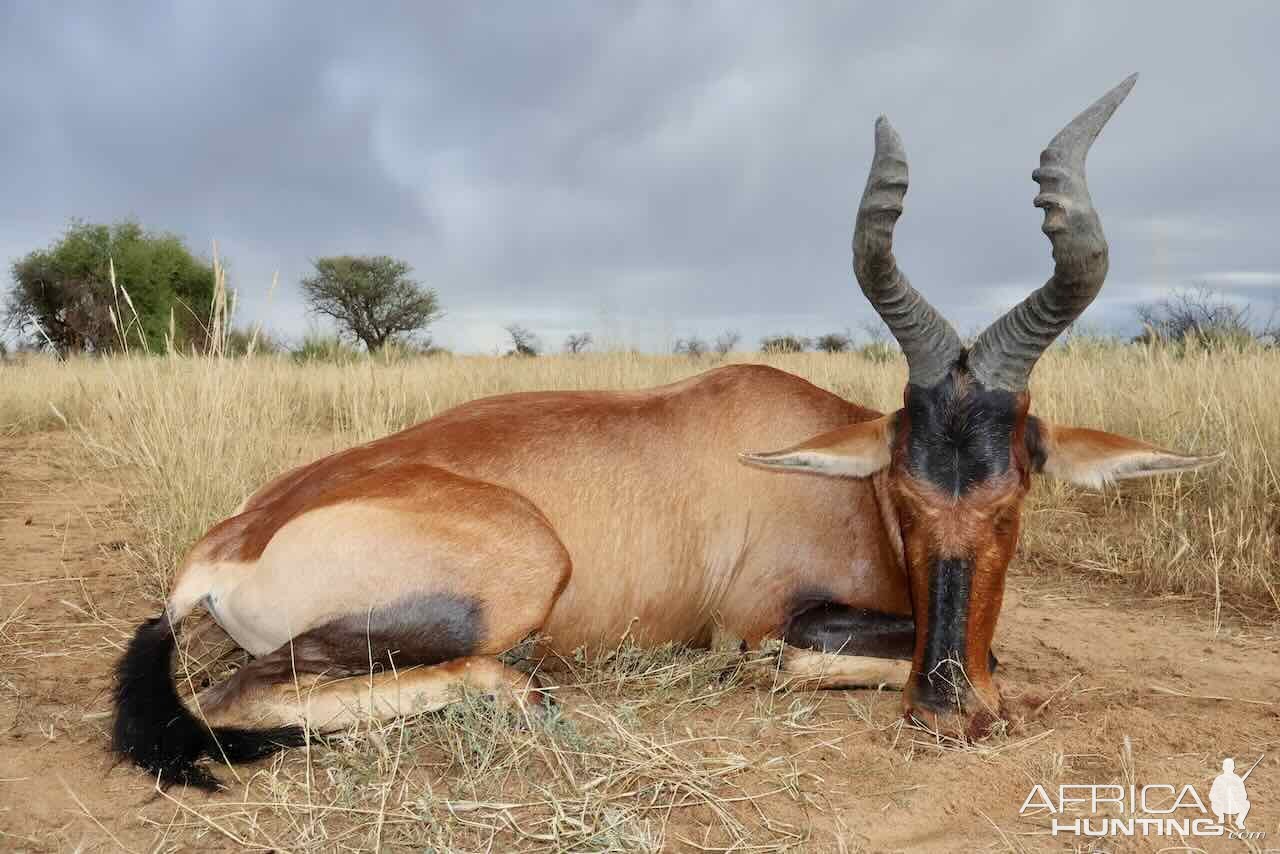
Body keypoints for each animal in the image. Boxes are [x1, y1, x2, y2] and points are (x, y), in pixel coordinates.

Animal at [112, 76, 1218, 793]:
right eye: (903, 491)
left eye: (1013, 493)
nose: (947, 713)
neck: (823, 470)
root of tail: (222, 545)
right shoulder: (767, 613)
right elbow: (826, 649)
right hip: (509, 580)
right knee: (237, 693)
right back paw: (513, 692)